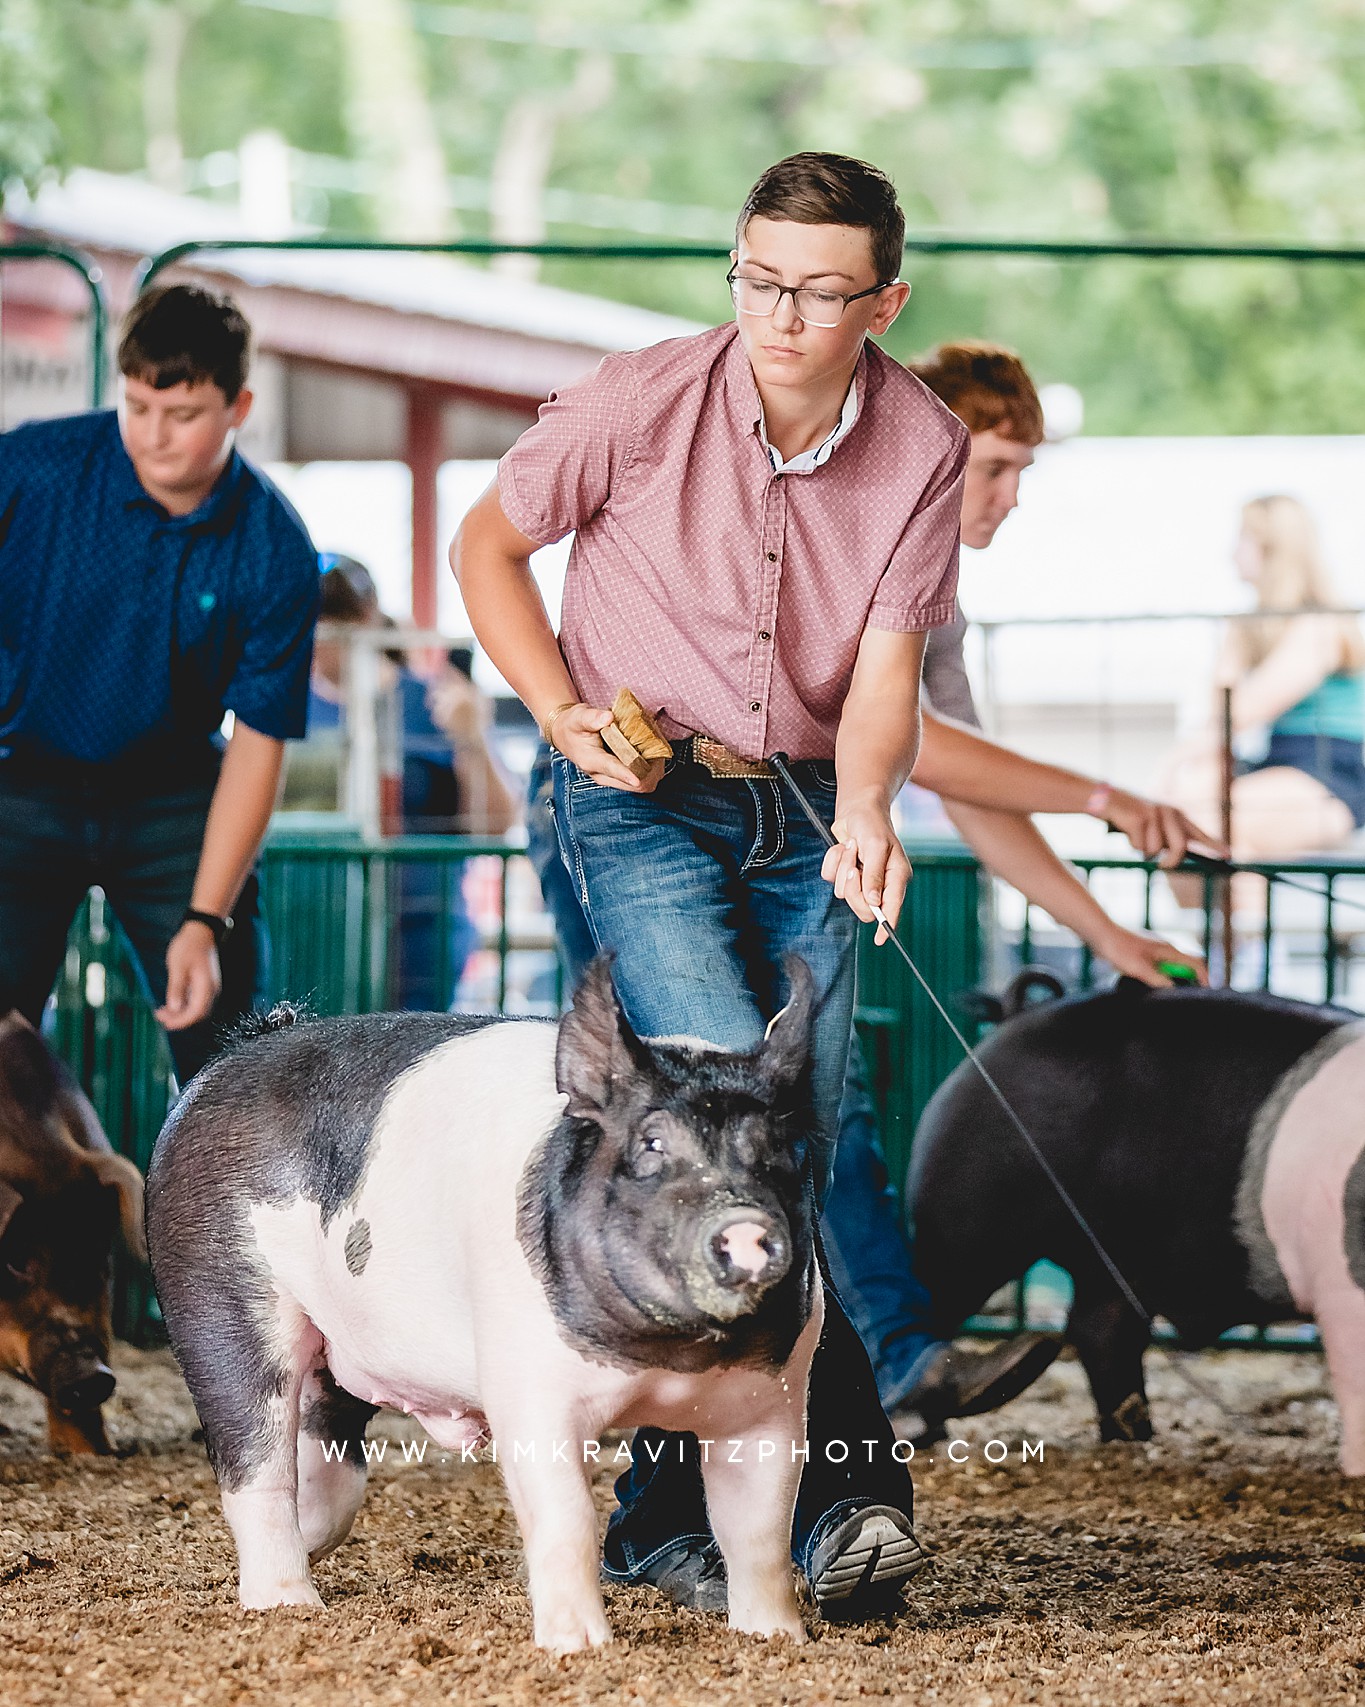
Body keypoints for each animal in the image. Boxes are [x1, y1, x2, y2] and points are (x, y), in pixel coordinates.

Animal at [147, 955, 825, 1645]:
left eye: (775, 1148)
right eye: (652, 1143)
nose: (745, 1226)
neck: (669, 1360)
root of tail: (235, 1055)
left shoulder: (775, 1398)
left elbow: (760, 1530)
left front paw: (777, 1638)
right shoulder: (528, 1381)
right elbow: (566, 1514)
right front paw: (578, 1647)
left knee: (324, 1468)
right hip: (213, 1282)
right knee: (254, 1459)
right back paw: (288, 1605)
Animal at [907, 976, 1365, 1468]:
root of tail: (1015, 1017)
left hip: (1113, 1257)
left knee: (1102, 1329)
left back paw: (1133, 1436)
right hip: (971, 1223)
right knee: (935, 1300)